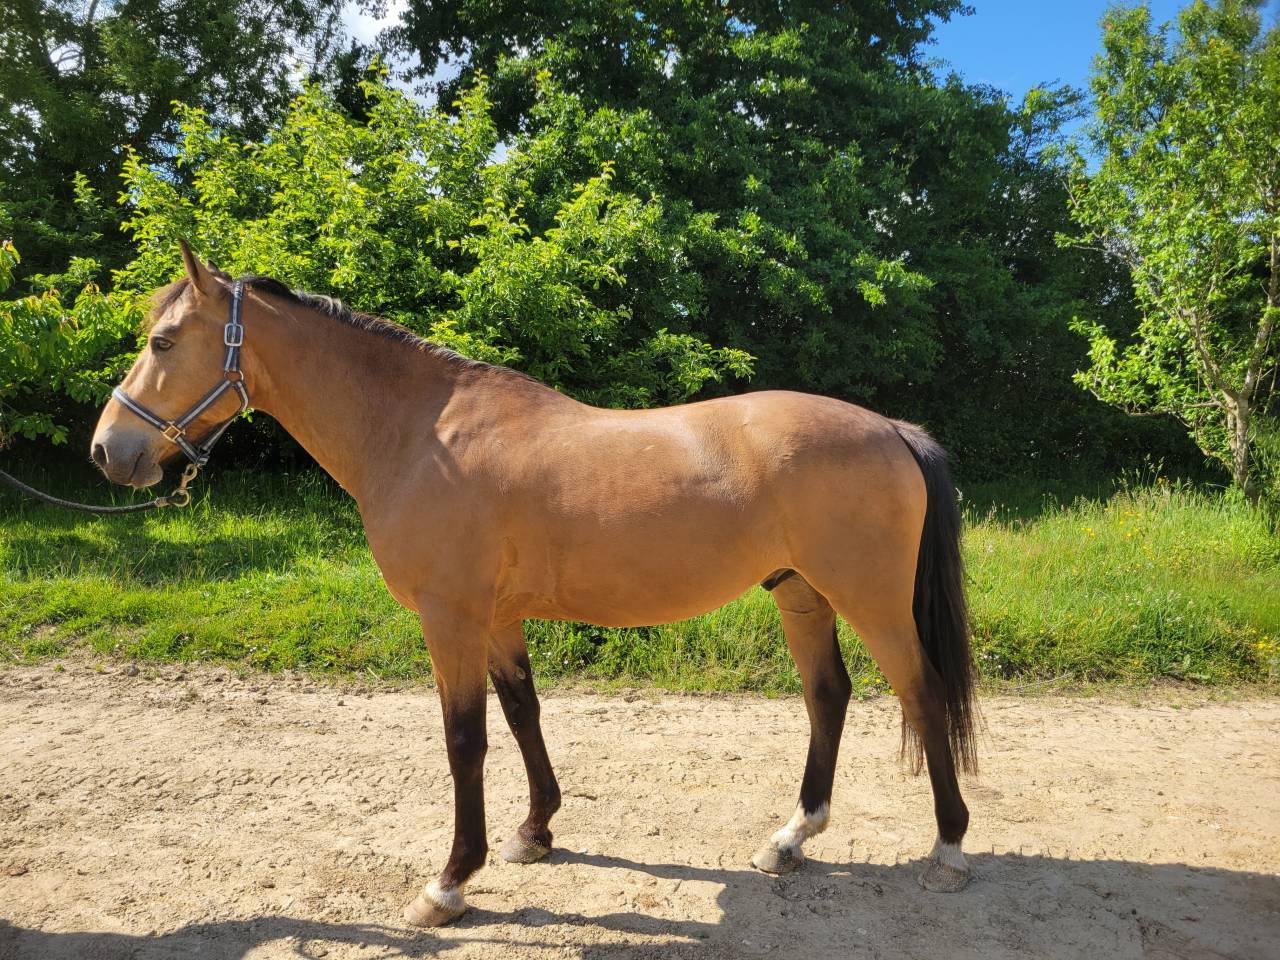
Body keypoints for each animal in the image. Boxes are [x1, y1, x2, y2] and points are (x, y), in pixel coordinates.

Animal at [90, 242, 978, 927]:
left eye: (162, 342)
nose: (108, 450)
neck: (422, 434)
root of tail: (890, 429)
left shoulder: (449, 617)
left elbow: (464, 740)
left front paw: (450, 881)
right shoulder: (496, 618)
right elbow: (522, 714)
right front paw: (535, 832)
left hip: (870, 601)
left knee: (922, 693)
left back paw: (947, 846)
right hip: (801, 594)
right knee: (828, 695)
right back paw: (791, 838)